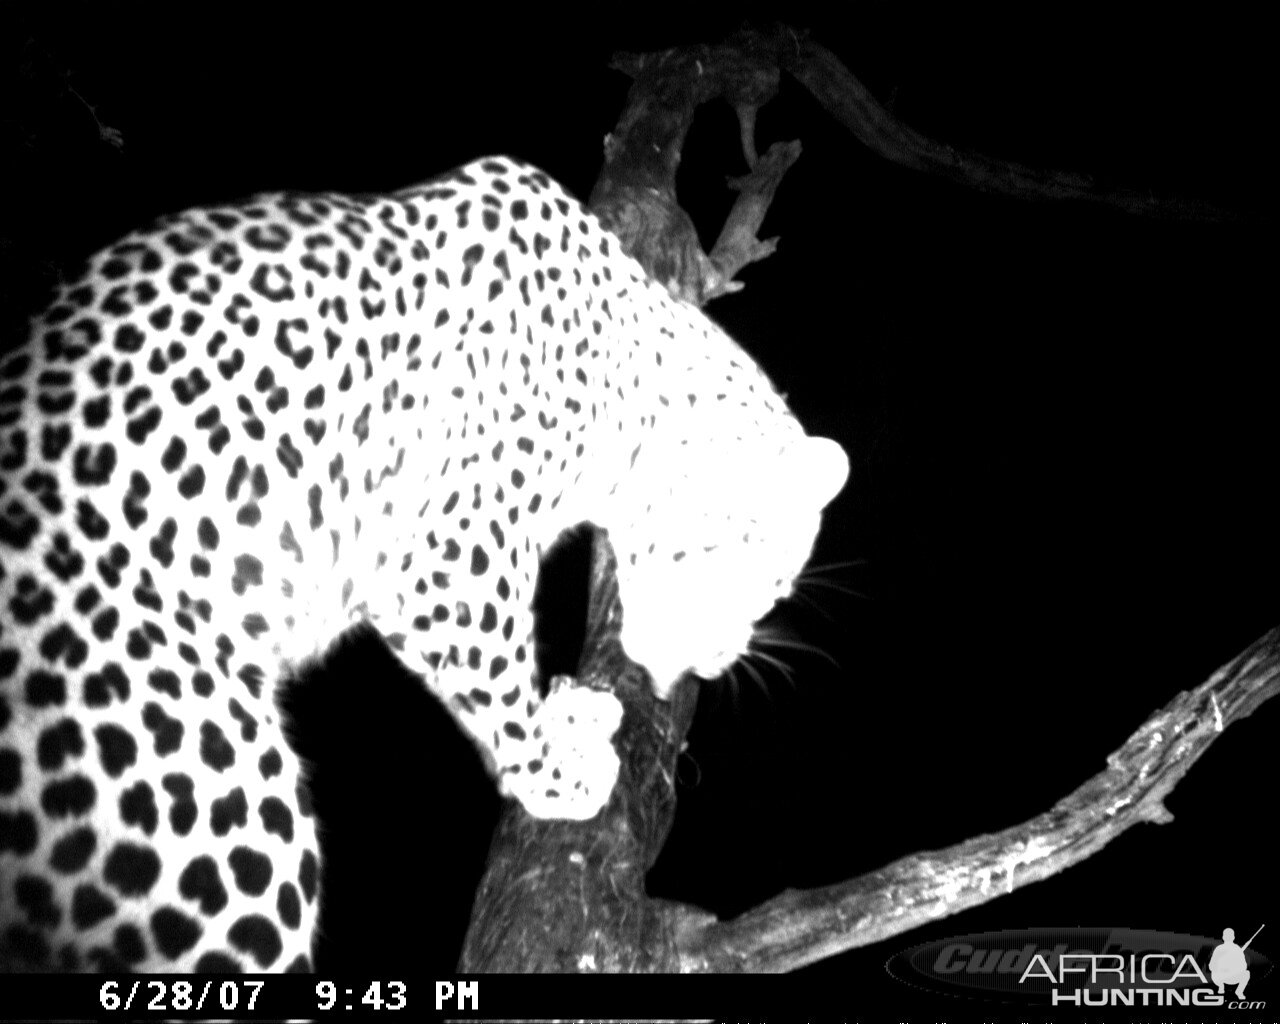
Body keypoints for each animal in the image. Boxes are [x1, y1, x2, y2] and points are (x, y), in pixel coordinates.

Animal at [5, 156, 855, 972]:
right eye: (764, 577)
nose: (715, 666)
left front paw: (572, 714)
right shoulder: (448, 552)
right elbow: (498, 683)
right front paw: (556, 772)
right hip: (227, 812)